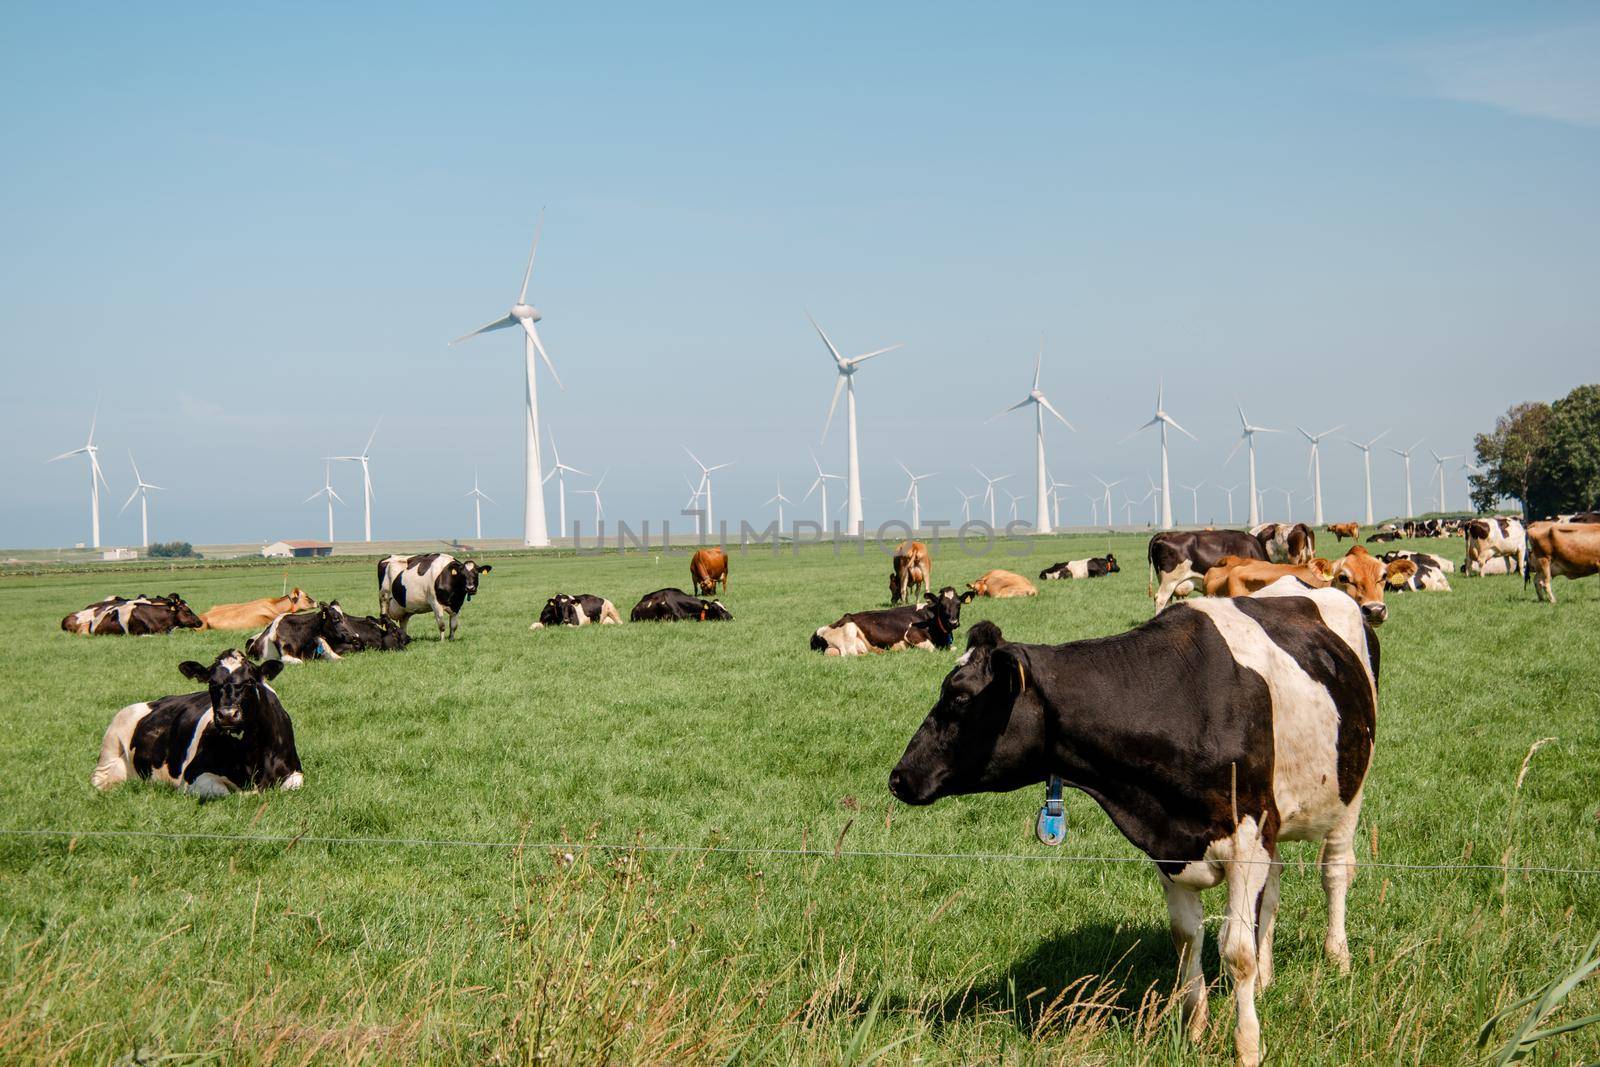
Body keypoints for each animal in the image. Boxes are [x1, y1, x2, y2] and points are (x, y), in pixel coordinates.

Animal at [92, 646, 302, 796]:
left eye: (250, 681)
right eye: (212, 682)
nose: (227, 714)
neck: (249, 757)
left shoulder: (296, 773)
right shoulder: (193, 776)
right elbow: (227, 792)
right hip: (110, 745)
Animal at [812, 588, 972, 655]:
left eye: (958, 604)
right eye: (942, 605)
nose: (953, 622)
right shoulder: (912, 634)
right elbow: (932, 649)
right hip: (849, 628)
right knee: (850, 653)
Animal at [889, 579, 1376, 1062]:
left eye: (959, 697)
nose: (898, 777)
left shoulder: (1247, 839)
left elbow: (1237, 952)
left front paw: (1247, 1047)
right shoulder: (1170, 846)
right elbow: (1187, 938)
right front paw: (1194, 1032)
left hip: (1350, 792)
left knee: (1334, 872)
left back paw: (1338, 959)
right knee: (1272, 891)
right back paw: (1269, 975)